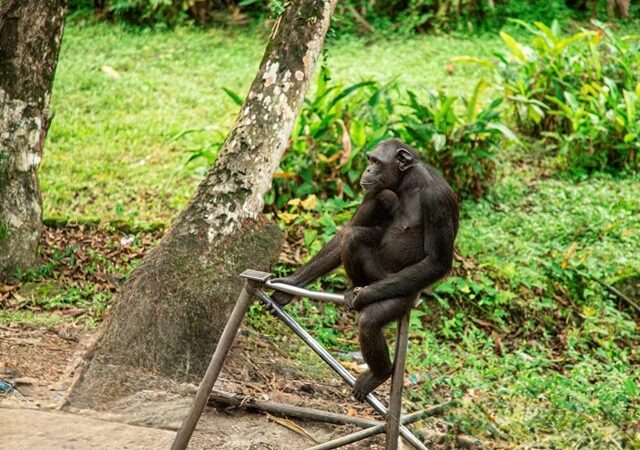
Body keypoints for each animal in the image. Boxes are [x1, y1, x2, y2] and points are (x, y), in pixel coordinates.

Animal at [272, 138, 458, 400]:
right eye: (370, 160)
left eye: (377, 161)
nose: (368, 169)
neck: (408, 183)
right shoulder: (373, 191)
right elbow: (349, 228)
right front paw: (291, 284)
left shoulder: (436, 200)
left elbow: (437, 261)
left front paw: (363, 297)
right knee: (354, 235)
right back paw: (353, 288)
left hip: (402, 291)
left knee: (371, 321)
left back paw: (379, 371)